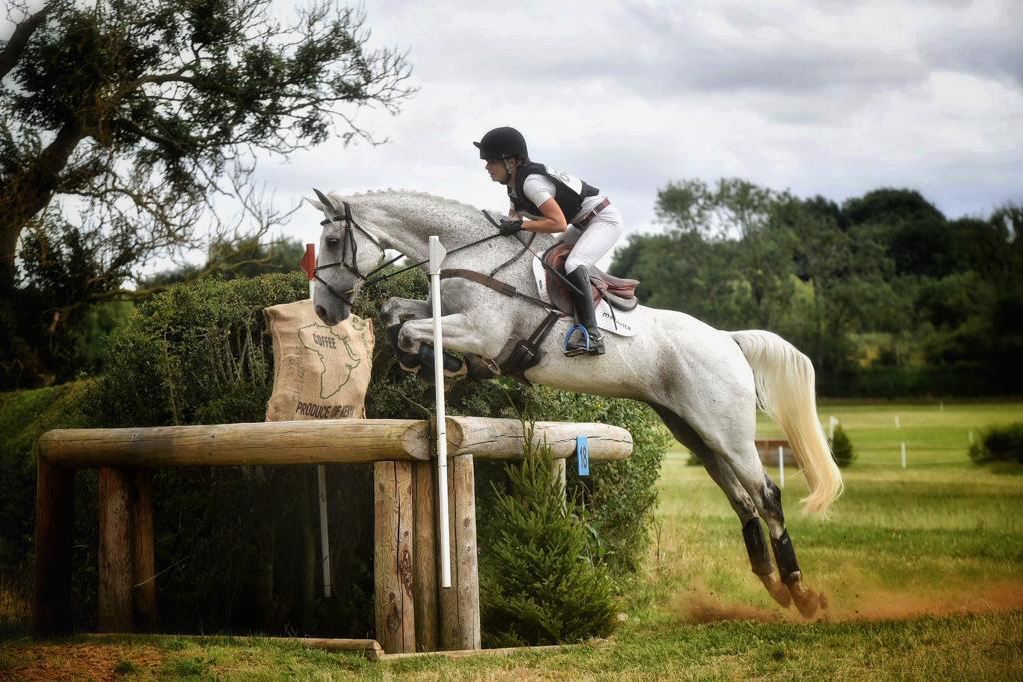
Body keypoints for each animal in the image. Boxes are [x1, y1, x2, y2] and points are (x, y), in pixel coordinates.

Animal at [307, 189, 841, 617]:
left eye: (332, 242)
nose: (324, 310)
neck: (471, 253)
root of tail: (728, 341)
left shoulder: (480, 330)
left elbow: (412, 327)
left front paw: (443, 363)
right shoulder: (449, 314)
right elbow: (397, 311)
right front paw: (434, 361)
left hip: (726, 431)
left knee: (766, 495)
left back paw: (800, 592)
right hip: (693, 431)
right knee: (741, 499)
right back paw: (773, 584)